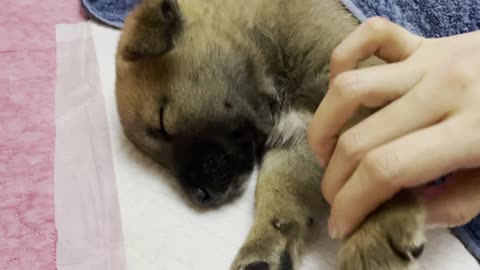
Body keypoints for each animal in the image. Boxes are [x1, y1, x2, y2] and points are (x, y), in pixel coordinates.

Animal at [114, 0, 426, 270]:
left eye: (162, 121)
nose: (201, 197)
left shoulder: (357, 83)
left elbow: (370, 159)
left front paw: (375, 233)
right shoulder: (301, 138)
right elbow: (279, 191)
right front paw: (264, 248)